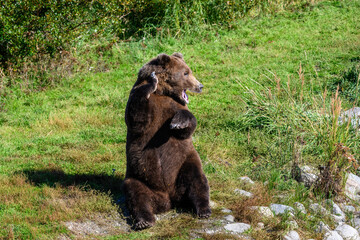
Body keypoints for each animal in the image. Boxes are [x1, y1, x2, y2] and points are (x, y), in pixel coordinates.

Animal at [122, 53, 210, 231]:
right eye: (186, 73)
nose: (200, 86)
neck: (163, 92)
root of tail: (169, 198)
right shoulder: (144, 104)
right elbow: (137, 117)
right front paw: (152, 81)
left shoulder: (175, 106)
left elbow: (187, 126)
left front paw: (177, 123)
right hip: (139, 176)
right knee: (137, 195)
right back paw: (144, 221)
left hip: (185, 163)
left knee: (197, 181)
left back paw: (204, 209)